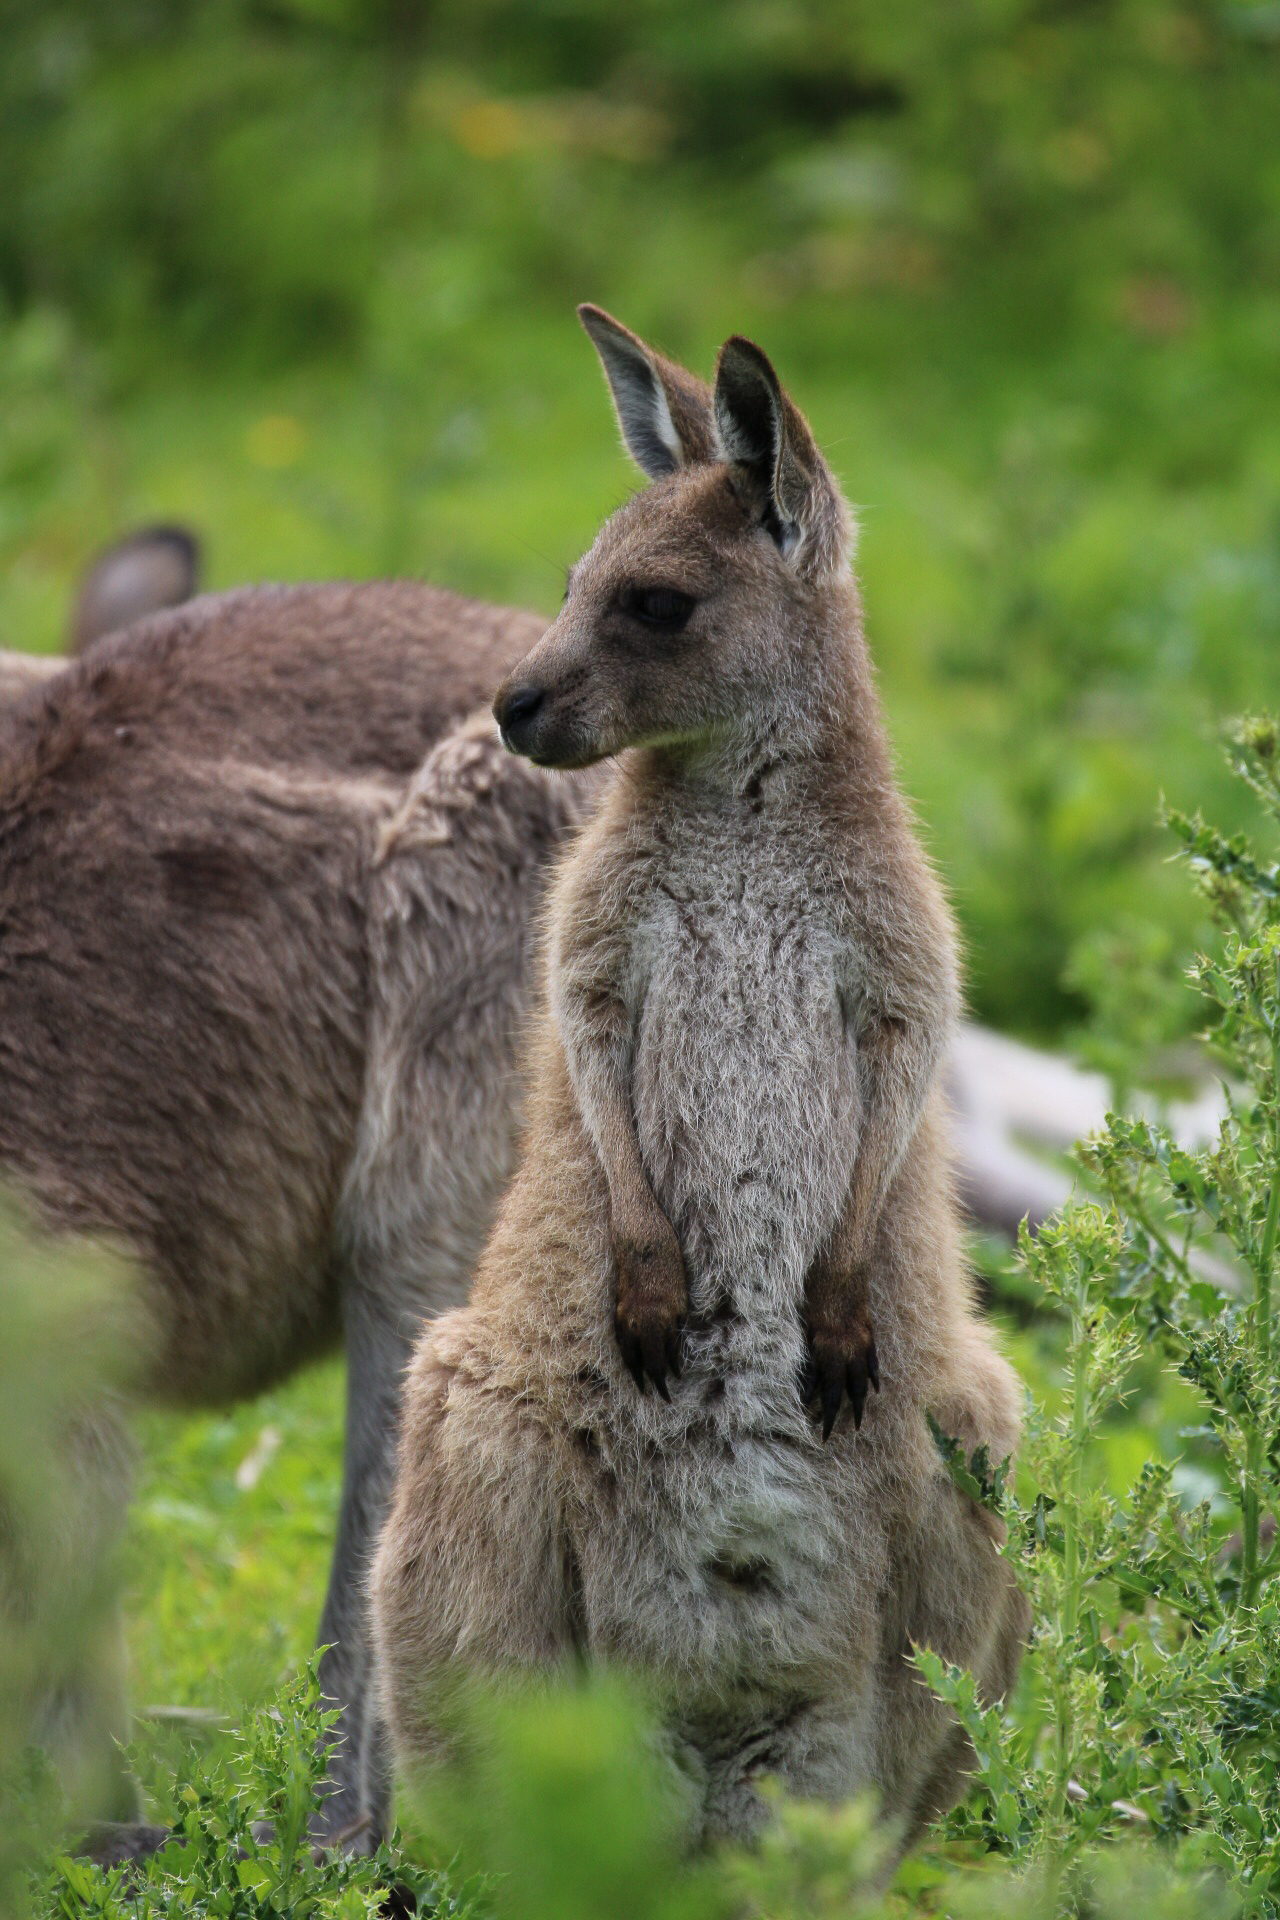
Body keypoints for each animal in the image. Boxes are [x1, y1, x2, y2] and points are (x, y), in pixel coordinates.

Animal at [369, 309, 1028, 1858]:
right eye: (568, 585)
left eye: (655, 606)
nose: (509, 708)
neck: (739, 805)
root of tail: (715, 1738)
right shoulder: (593, 954)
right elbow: (594, 1073)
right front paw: (657, 1296)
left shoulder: (902, 967)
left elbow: (900, 1078)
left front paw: (823, 1316)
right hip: (470, 1440)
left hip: (971, 1456)